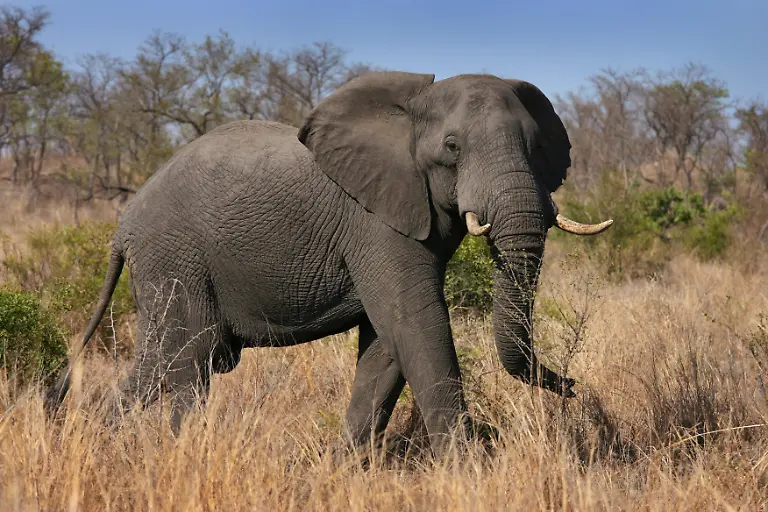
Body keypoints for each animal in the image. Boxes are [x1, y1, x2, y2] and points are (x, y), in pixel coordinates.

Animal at [44, 71, 612, 454]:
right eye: (452, 147)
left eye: (537, 146)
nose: (571, 386)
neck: (411, 106)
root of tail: (122, 226)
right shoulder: (376, 219)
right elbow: (416, 322)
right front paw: (467, 470)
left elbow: (387, 343)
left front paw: (346, 467)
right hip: (175, 259)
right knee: (187, 359)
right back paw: (159, 451)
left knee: (172, 363)